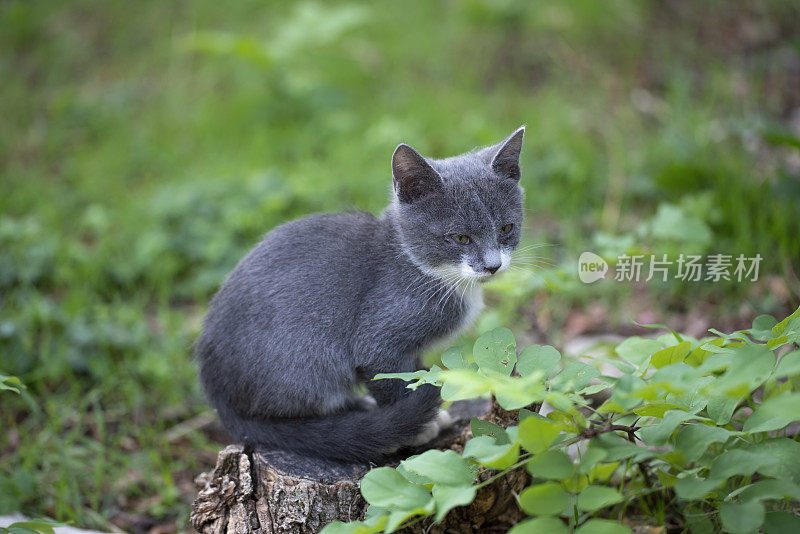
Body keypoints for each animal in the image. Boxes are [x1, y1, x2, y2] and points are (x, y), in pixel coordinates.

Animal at [196, 126, 524, 464]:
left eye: (506, 229)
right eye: (460, 238)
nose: (492, 265)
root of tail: (220, 401)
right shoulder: (379, 340)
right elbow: (392, 380)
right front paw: (419, 428)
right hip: (306, 357)